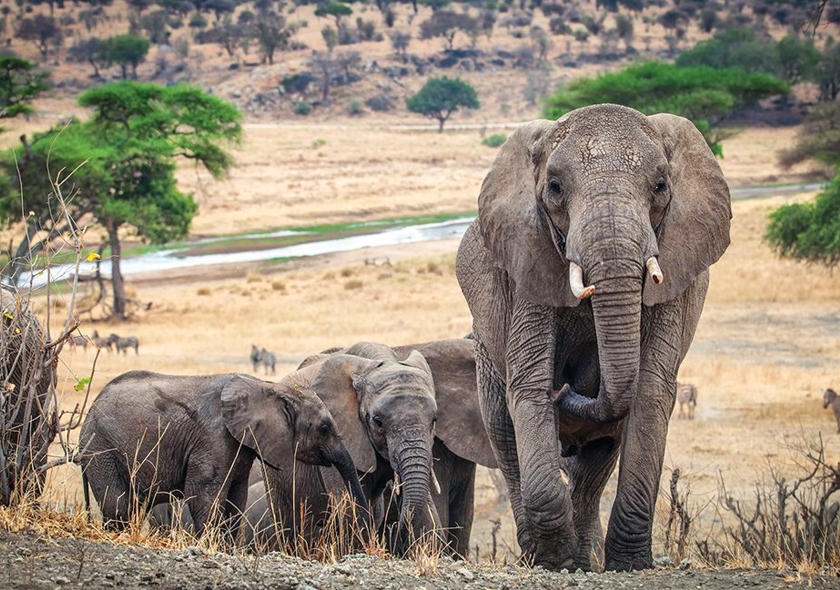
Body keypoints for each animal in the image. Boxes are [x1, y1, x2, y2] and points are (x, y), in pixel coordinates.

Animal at [78, 372, 364, 540]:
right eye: (324, 428)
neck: (267, 387)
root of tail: (90, 410)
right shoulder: (213, 438)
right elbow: (203, 494)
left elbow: (236, 500)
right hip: (101, 447)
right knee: (118, 504)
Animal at [456, 104, 732, 572]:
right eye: (554, 187)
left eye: (661, 185)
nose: (568, 387)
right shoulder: (529, 262)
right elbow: (529, 386)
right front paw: (556, 563)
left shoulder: (675, 269)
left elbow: (651, 390)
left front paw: (629, 564)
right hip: (485, 351)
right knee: (504, 436)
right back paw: (538, 556)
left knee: (595, 462)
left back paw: (586, 559)